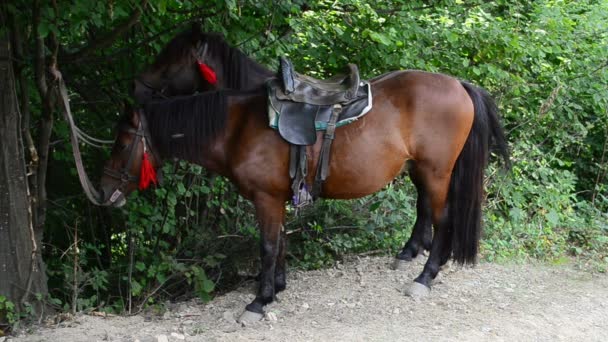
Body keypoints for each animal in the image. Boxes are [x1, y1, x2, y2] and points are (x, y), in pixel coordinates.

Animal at [100, 43, 508, 320]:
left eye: (121, 143)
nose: (103, 191)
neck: (238, 127)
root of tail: (458, 83)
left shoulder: (265, 198)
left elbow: (267, 245)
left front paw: (259, 301)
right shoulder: (277, 197)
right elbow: (279, 242)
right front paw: (276, 287)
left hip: (436, 172)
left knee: (443, 221)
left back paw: (424, 277)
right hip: (422, 171)